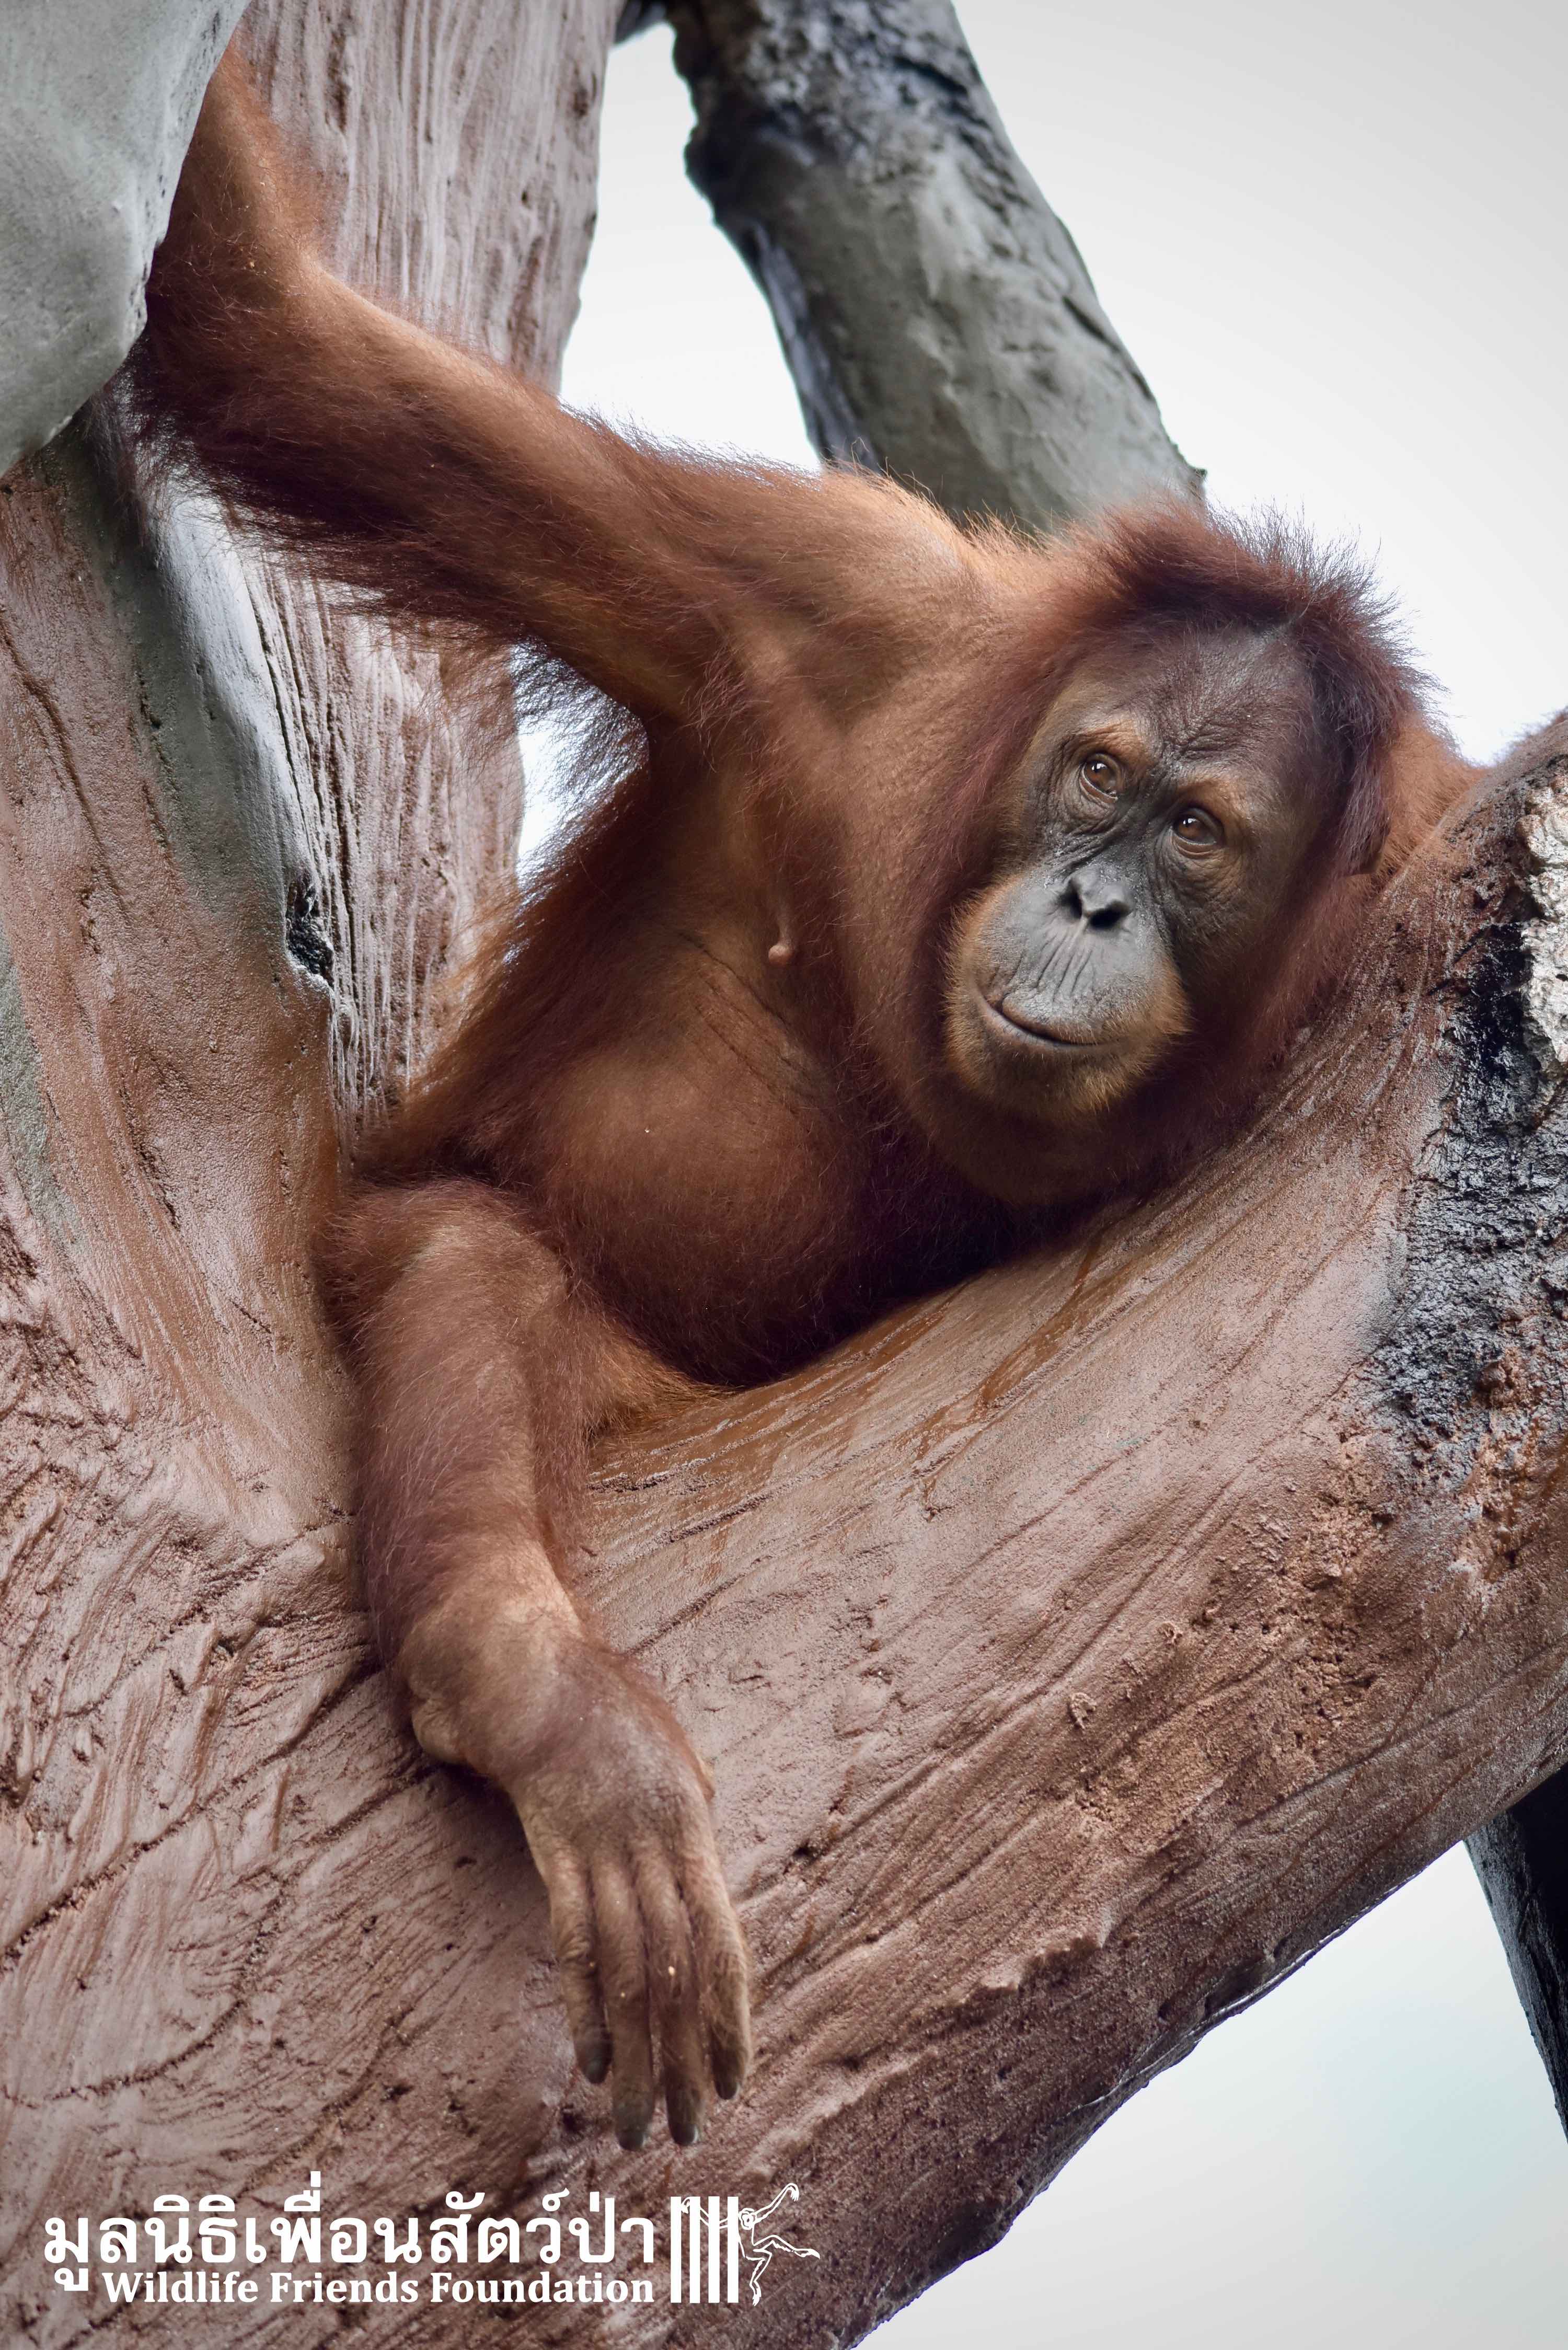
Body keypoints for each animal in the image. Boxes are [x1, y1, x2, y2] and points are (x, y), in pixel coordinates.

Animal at [129, 49, 1470, 2152]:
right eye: (1096, 775)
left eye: (1195, 833)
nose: (1091, 900)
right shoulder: (846, 597)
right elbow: (273, 348)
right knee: (466, 1251)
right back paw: (526, 1685)